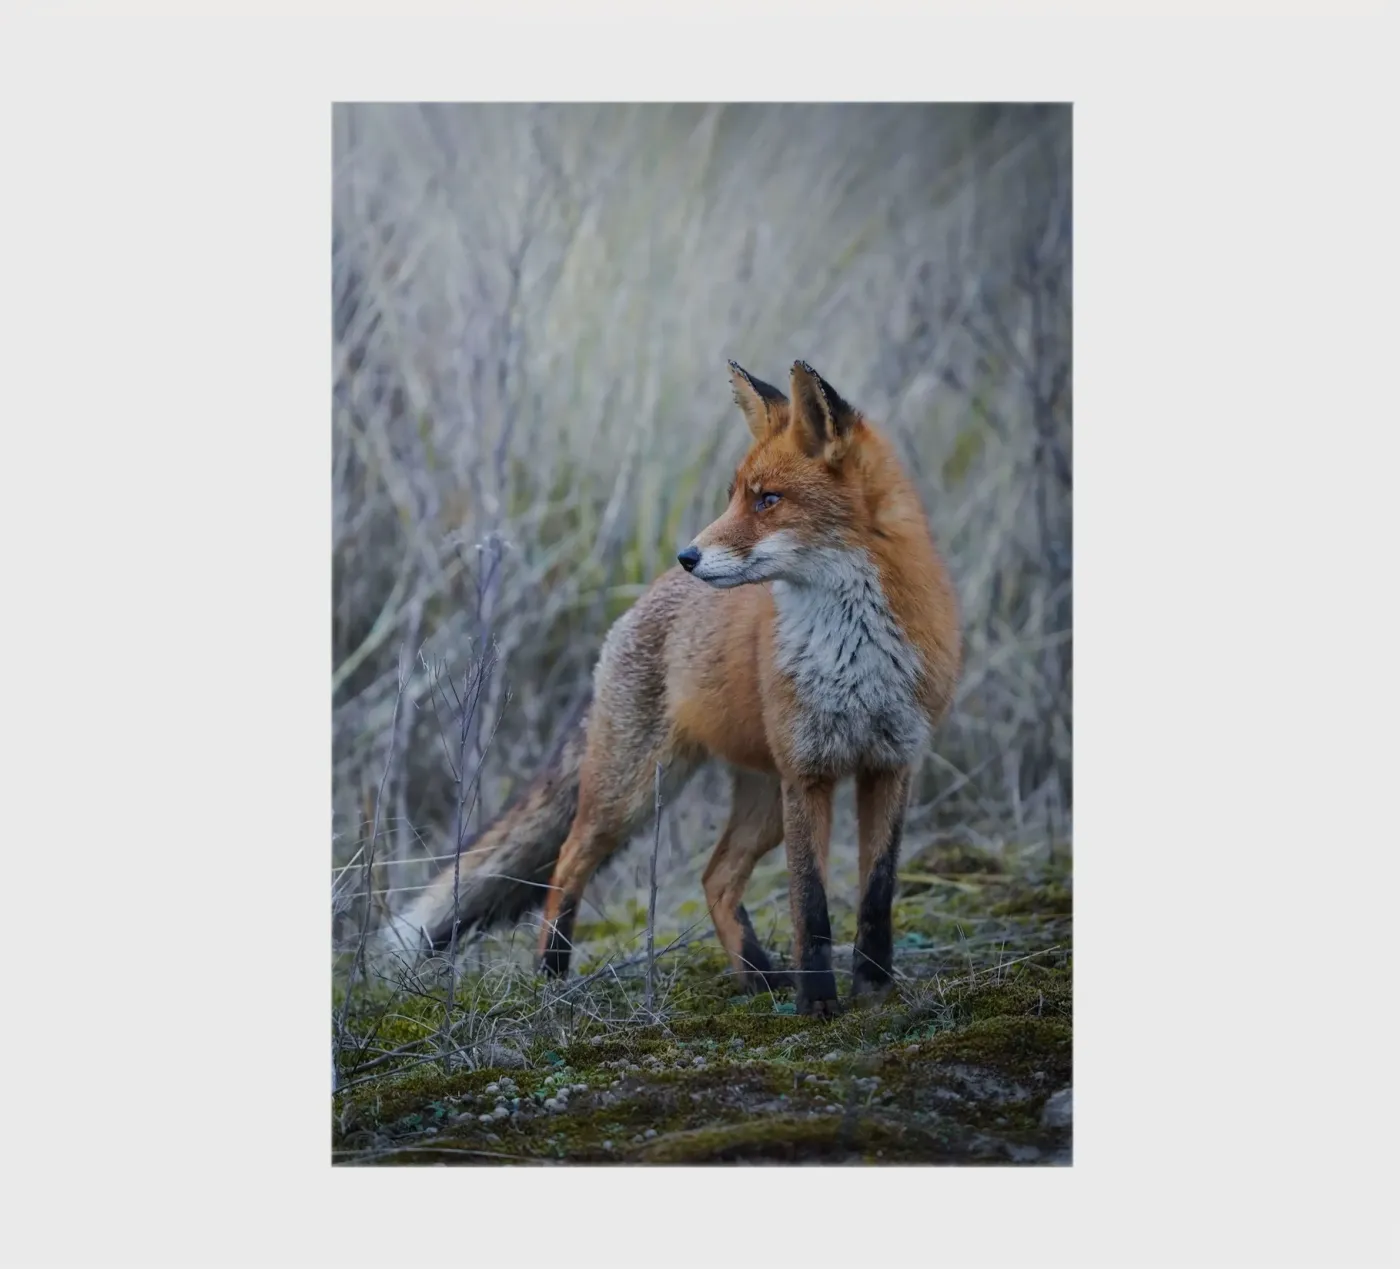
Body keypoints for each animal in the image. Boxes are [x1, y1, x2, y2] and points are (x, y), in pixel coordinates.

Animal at [375, 360, 961, 1015]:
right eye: (735, 496)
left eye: (768, 500)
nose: (689, 555)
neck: (852, 653)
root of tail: (642, 600)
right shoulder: (808, 773)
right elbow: (810, 907)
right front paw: (818, 1006)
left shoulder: (890, 763)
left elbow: (876, 896)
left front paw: (876, 992)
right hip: (634, 791)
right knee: (569, 862)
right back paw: (551, 974)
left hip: (763, 801)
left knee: (715, 877)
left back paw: (758, 977)